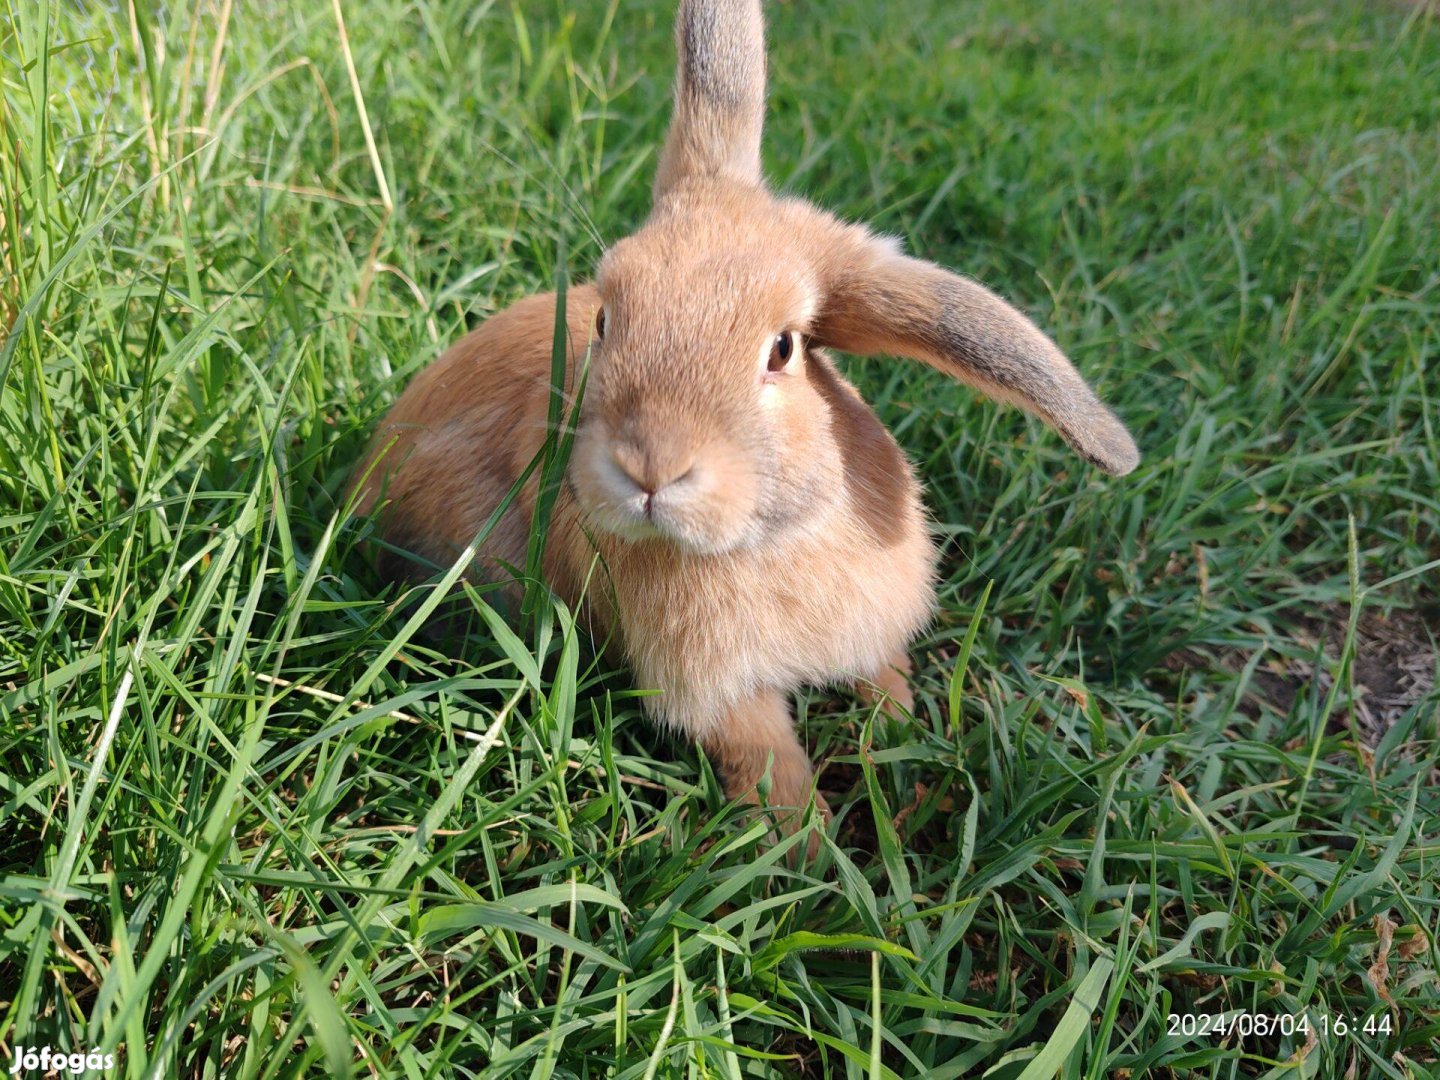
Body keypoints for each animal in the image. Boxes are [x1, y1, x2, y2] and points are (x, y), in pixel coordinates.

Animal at [348, 0, 1134, 852]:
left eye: (782, 349)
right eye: (605, 317)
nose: (651, 467)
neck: (766, 540)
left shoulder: (873, 635)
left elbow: (884, 692)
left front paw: (901, 751)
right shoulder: (719, 693)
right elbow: (769, 764)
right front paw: (810, 853)